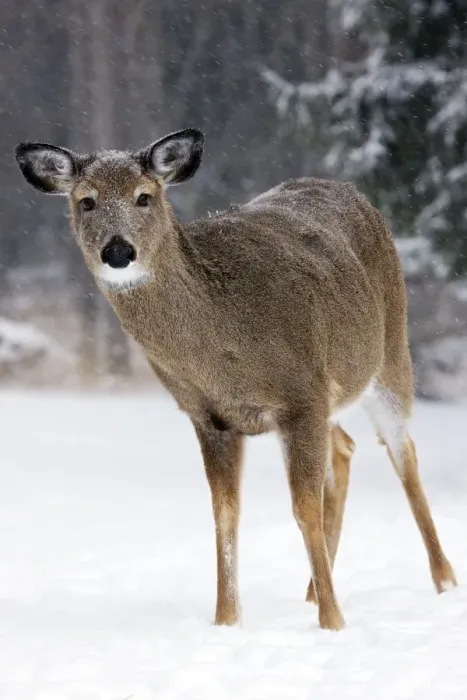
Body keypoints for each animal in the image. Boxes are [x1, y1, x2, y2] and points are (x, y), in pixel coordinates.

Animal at [15, 129, 457, 630]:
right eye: (86, 201)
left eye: (144, 196)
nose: (118, 251)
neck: (225, 350)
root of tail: (352, 192)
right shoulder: (210, 416)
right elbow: (225, 514)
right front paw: (227, 620)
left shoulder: (301, 393)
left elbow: (303, 508)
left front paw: (333, 622)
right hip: (330, 396)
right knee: (345, 447)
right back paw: (310, 590)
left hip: (389, 353)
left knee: (404, 453)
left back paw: (443, 581)